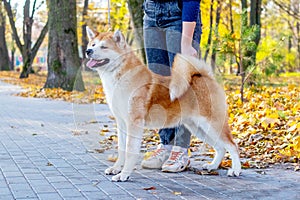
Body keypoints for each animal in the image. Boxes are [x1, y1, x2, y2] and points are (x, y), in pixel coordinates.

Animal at [84, 27, 241, 182]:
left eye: (104, 47)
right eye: (93, 44)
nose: (88, 51)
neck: (121, 77)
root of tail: (204, 76)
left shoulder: (134, 123)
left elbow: (129, 152)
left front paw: (124, 174)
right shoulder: (121, 123)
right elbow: (121, 150)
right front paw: (116, 169)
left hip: (212, 125)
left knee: (232, 145)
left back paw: (236, 170)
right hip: (199, 128)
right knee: (220, 147)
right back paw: (212, 166)